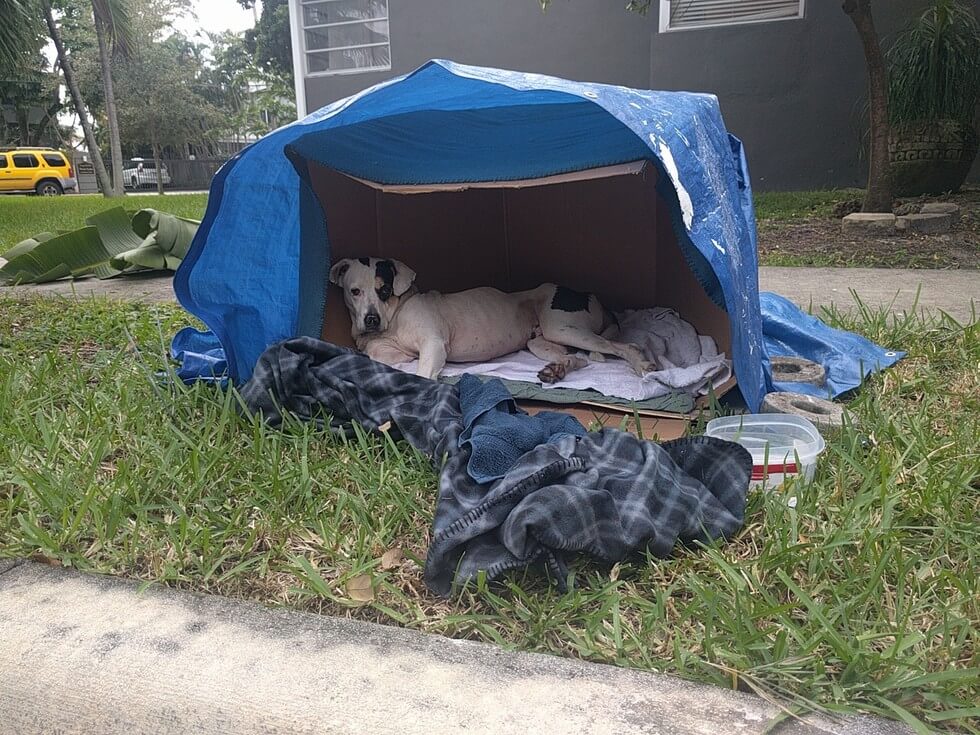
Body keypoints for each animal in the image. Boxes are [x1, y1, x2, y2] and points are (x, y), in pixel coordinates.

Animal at [330, 258, 660, 382]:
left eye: (384, 289)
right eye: (355, 291)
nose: (371, 320)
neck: (396, 314)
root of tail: (587, 293)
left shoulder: (433, 345)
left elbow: (424, 373)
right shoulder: (388, 351)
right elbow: (379, 353)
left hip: (562, 327)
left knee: (623, 346)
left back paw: (642, 365)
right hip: (541, 342)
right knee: (579, 359)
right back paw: (556, 370)